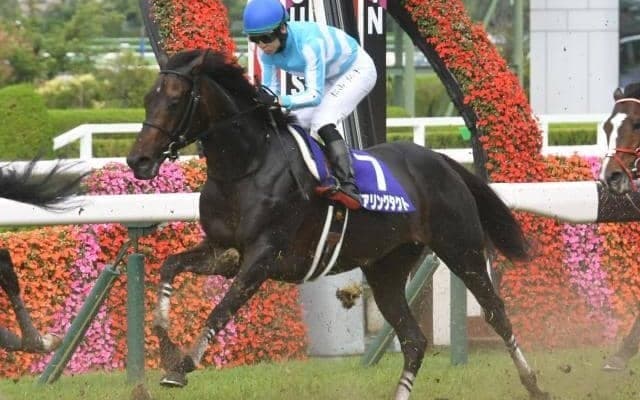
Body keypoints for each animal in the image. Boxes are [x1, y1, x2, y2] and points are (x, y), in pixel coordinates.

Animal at [126, 49, 549, 400]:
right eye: (146, 100)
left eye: (175, 101)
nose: (138, 160)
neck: (246, 167)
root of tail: (441, 160)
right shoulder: (223, 250)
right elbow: (169, 267)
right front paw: (166, 347)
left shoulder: (263, 256)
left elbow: (222, 309)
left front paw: (182, 366)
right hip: (386, 267)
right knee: (414, 340)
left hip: (460, 248)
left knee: (496, 313)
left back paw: (534, 383)